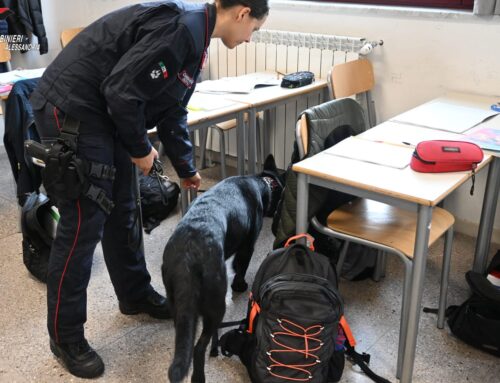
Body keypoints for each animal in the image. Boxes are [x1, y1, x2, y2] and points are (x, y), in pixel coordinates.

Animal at [163, 156, 284, 383]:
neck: (262, 184)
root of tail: (188, 255)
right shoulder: (247, 246)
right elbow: (241, 267)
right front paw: (240, 285)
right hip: (215, 303)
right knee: (199, 346)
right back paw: (201, 372)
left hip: (177, 304)